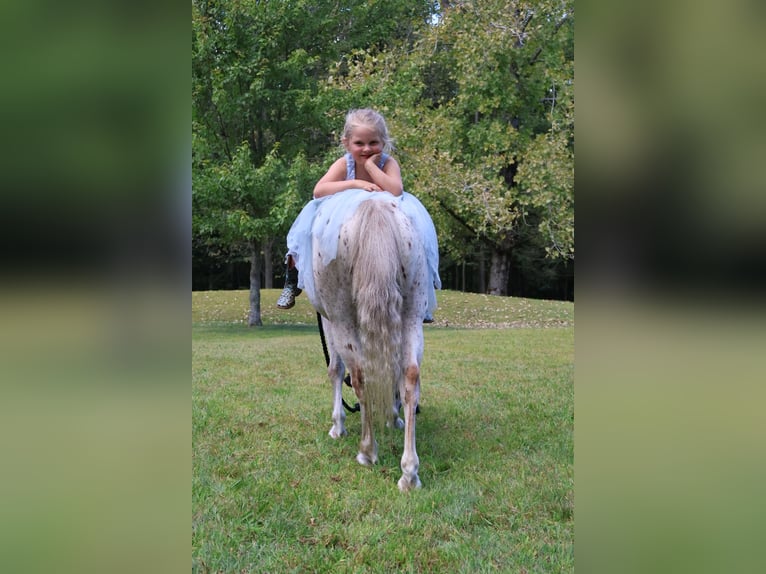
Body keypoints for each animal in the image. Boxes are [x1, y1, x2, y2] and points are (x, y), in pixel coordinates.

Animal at [311, 194, 429, 492]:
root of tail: (374, 205)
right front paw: (393, 417)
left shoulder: (329, 320)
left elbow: (335, 370)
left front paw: (338, 425)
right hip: (412, 313)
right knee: (409, 376)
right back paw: (409, 472)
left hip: (341, 317)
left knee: (360, 376)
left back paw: (367, 450)